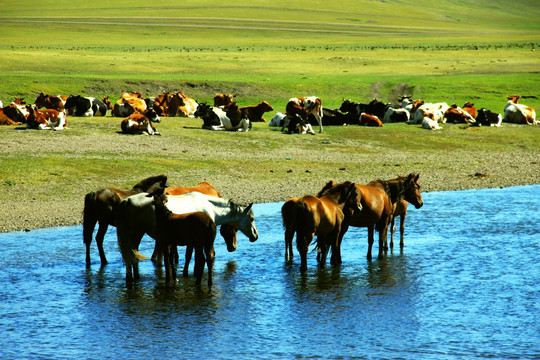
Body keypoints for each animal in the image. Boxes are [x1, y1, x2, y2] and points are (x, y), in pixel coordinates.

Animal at [115, 190, 258, 282]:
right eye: (251, 218)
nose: (255, 236)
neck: (210, 208)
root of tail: (127, 201)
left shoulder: (190, 241)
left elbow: (188, 256)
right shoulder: (197, 241)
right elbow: (194, 258)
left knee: (132, 256)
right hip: (136, 233)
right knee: (132, 255)